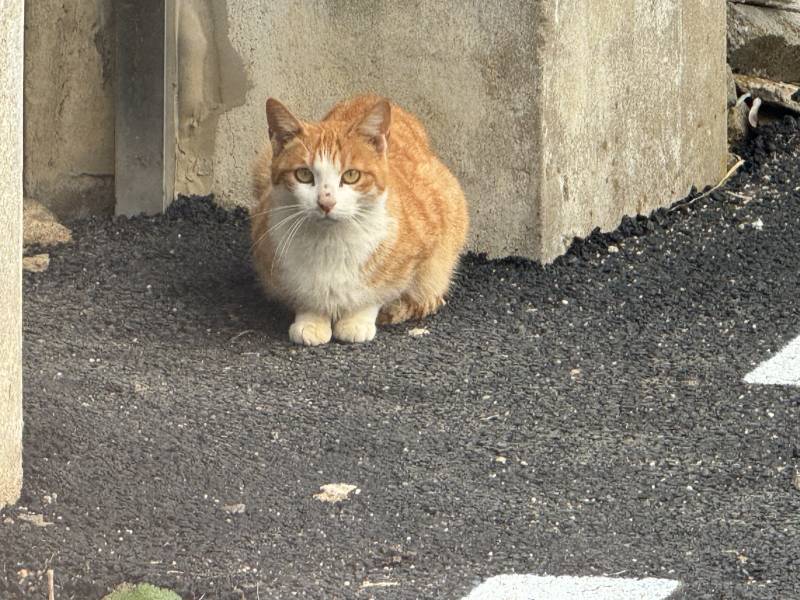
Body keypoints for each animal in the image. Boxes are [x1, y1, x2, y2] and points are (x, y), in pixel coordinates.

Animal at [250, 94, 468, 346]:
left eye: (351, 175)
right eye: (303, 174)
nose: (326, 203)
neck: (330, 242)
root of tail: (369, 94)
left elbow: (376, 291)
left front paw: (357, 320)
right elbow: (304, 292)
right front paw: (311, 321)